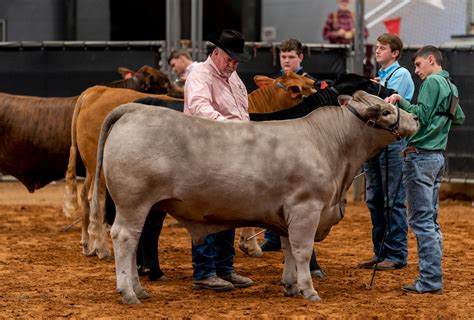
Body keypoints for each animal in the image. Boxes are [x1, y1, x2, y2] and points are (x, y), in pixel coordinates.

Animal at [89, 90, 418, 302]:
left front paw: (291, 286)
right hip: (133, 202)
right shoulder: (306, 207)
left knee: (135, 241)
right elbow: (302, 250)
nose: (414, 118)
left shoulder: (288, 212)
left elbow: (288, 249)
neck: (328, 143)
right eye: (386, 111)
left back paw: (139, 288)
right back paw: (129, 292)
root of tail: (134, 109)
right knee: (125, 238)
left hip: (145, 206)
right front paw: (309, 290)